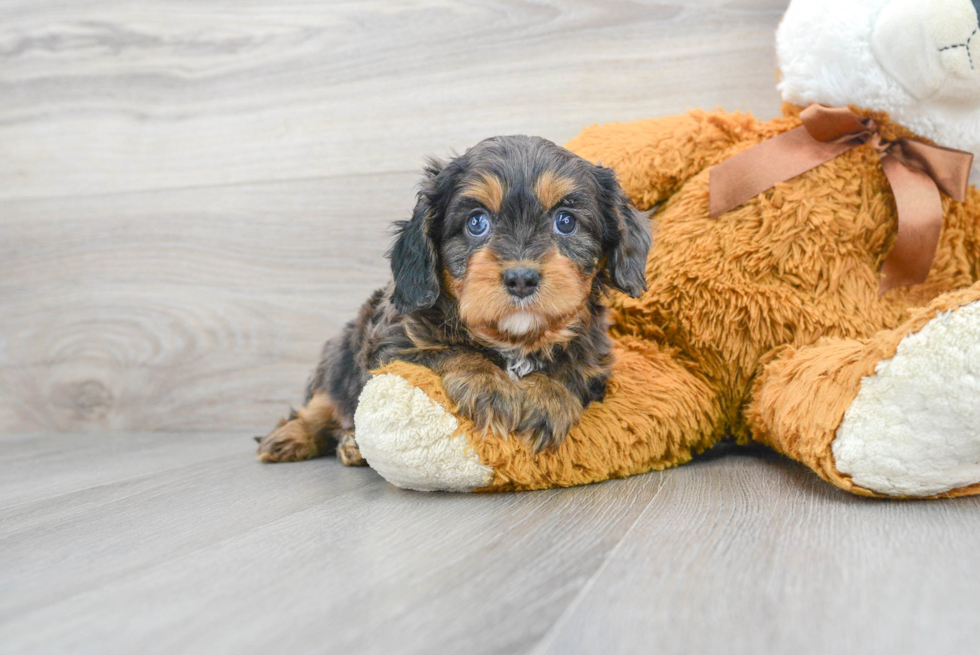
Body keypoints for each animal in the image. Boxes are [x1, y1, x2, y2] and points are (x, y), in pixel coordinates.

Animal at [256, 135, 652, 466]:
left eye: (565, 222)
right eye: (477, 223)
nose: (521, 278)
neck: (513, 342)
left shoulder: (595, 360)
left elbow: (571, 369)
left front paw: (546, 398)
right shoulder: (393, 346)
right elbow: (447, 351)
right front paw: (489, 386)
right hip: (337, 358)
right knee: (321, 405)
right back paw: (297, 437)